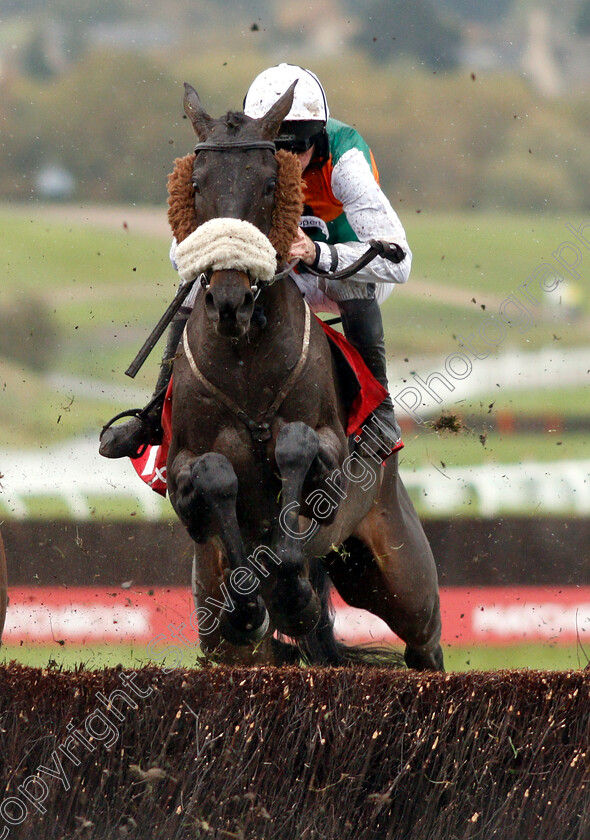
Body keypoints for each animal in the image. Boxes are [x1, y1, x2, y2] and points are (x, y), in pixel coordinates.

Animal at [165, 80, 444, 668]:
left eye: (271, 182)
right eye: (197, 185)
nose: (229, 300)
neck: (246, 363)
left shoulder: (330, 452)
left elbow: (296, 449)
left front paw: (295, 594)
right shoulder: (181, 473)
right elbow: (213, 475)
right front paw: (251, 604)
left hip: (402, 577)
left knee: (424, 644)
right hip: (216, 627)